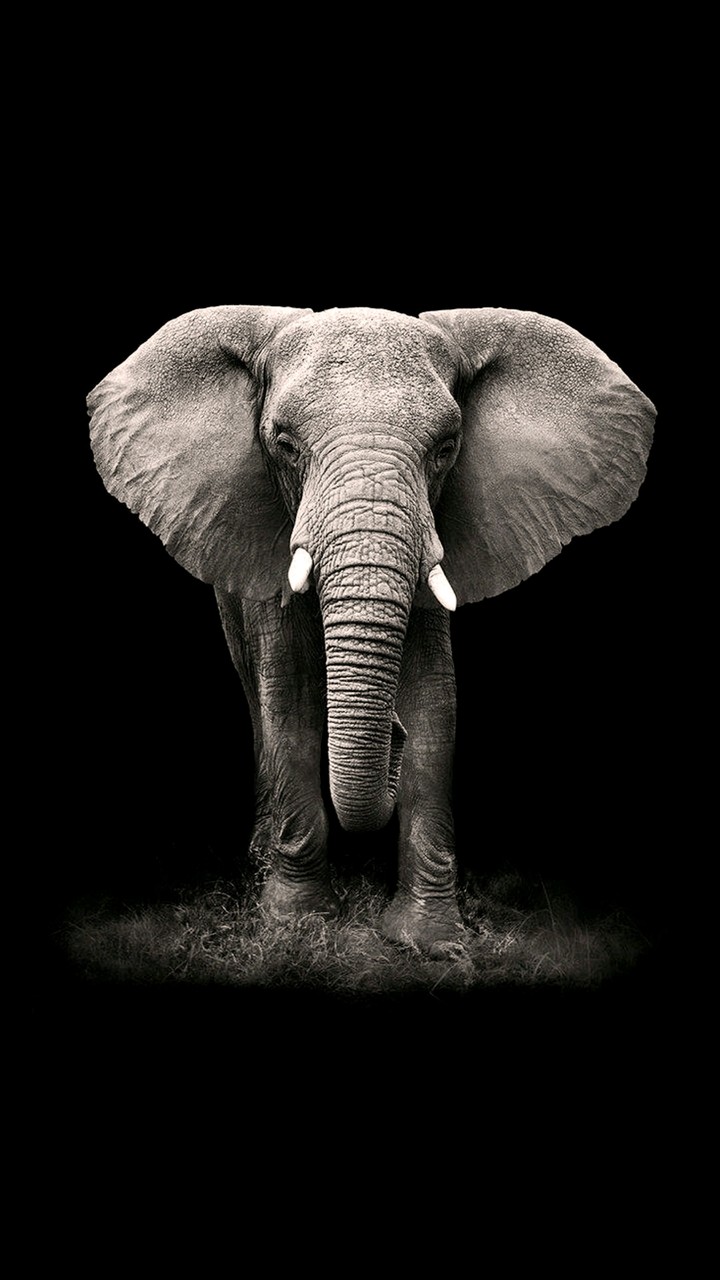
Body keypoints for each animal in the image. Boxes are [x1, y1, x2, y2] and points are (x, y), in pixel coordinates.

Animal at [87, 305, 656, 957]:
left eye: (446, 448)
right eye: (284, 445)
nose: (393, 734)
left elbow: (436, 702)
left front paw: (429, 940)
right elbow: (291, 700)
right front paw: (297, 924)